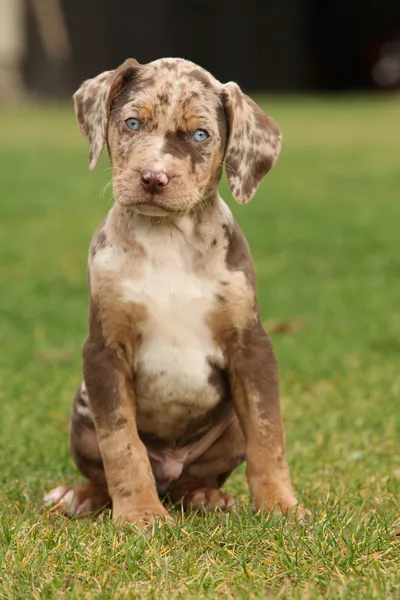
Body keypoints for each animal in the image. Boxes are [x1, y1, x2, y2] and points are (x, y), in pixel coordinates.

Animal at [43, 56, 302, 524]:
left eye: (200, 135)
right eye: (131, 123)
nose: (153, 178)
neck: (168, 239)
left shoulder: (252, 347)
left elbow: (268, 434)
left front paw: (280, 505)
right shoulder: (104, 351)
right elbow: (122, 444)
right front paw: (140, 515)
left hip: (225, 432)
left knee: (196, 476)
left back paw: (205, 496)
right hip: (82, 408)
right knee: (105, 472)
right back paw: (80, 496)